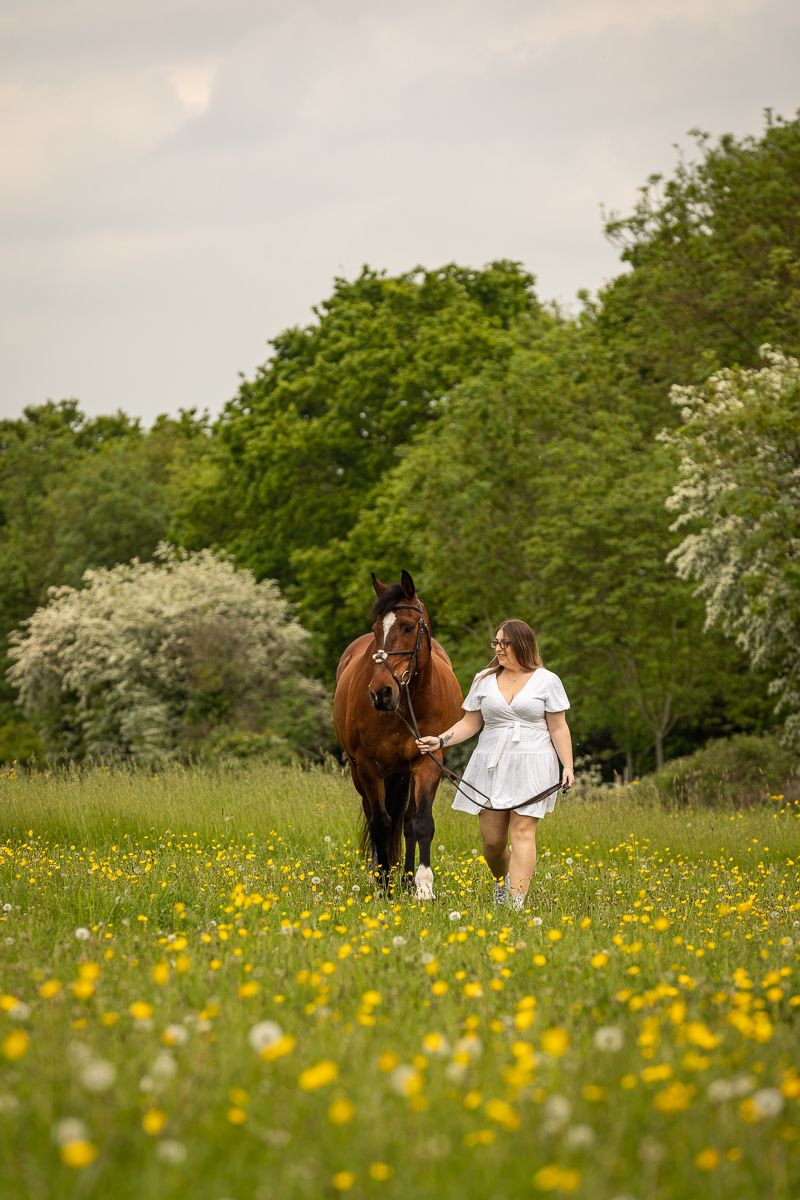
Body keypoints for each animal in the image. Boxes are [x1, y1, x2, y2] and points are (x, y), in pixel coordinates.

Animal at [333, 570, 463, 899]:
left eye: (407, 626)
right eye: (376, 629)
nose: (380, 693)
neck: (407, 703)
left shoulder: (427, 761)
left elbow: (421, 823)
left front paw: (424, 887)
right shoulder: (368, 767)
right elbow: (380, 823)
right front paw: (383, 887)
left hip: (404, 773)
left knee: (406, 821)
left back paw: (405, 877)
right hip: (362, 772)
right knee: (374, 816)